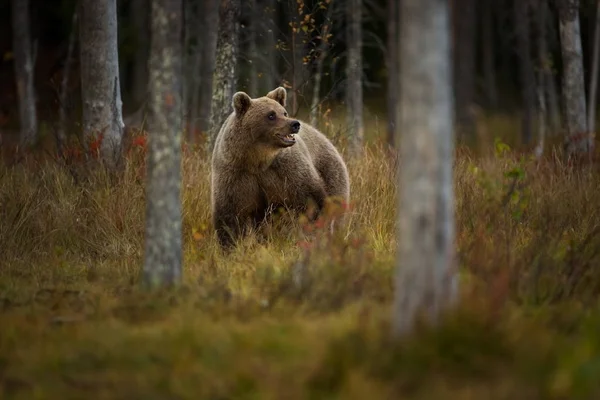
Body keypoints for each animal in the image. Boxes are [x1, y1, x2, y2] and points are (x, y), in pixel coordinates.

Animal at [211, 86, 352, 247]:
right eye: (271, 115)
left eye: (284, 112)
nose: (295, 124)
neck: (257, 160)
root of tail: (324, 137)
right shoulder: (235, 173)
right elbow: (229, 214)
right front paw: (231, 246)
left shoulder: (287, 170)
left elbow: (311, 199)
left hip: (331, 171)